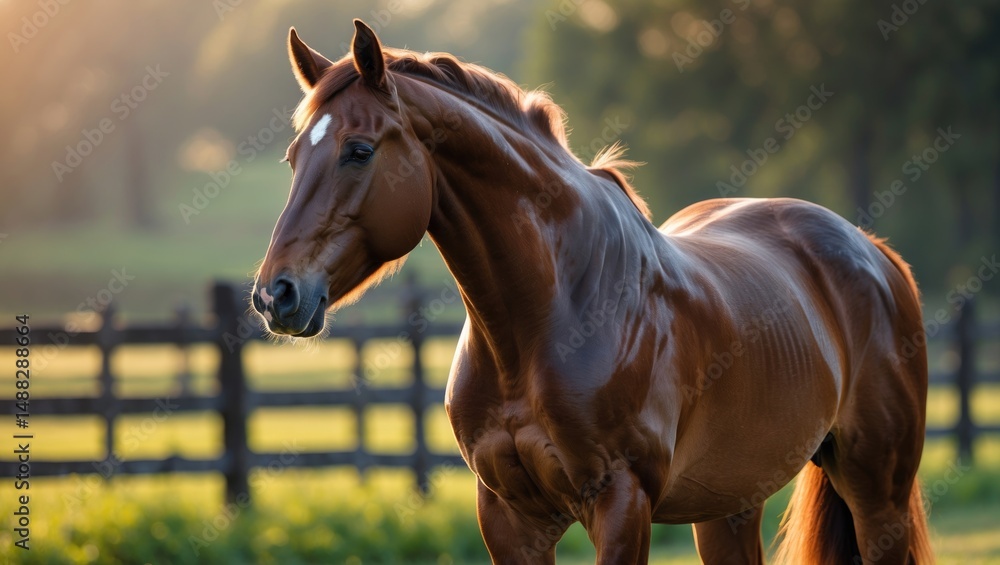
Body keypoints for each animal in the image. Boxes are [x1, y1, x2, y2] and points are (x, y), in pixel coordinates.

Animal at [252, 20, 933, 564]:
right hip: (730, 505)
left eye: (359, 151)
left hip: (878, 494)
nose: (275, 295)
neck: (546, 319)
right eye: (291, 157)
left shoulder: (622, 502)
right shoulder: (509, 517)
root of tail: (875, 252)